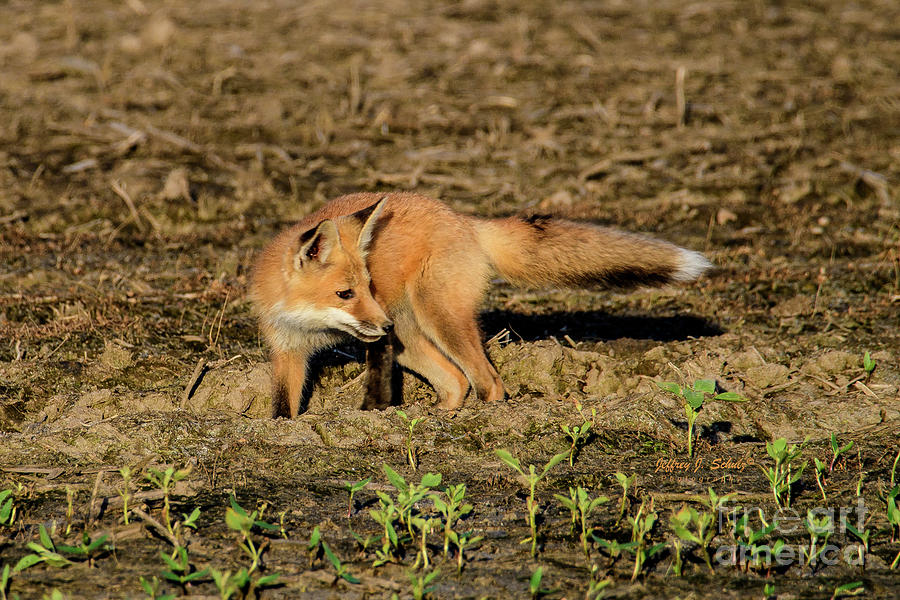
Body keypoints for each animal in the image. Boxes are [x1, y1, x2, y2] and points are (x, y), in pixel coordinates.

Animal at [251, 192, 712, 418]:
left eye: (369, 286)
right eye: (346, 294)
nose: (383, 325)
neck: (312, 325)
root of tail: (463, 219)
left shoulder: (377, 341)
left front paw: (372, 413)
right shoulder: (287, 350)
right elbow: (282, 407)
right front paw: (283, 431)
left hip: (436, 320)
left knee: (488, 382)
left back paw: (484, 420)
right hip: (412, 336)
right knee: (456, 381)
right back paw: (438, 419)